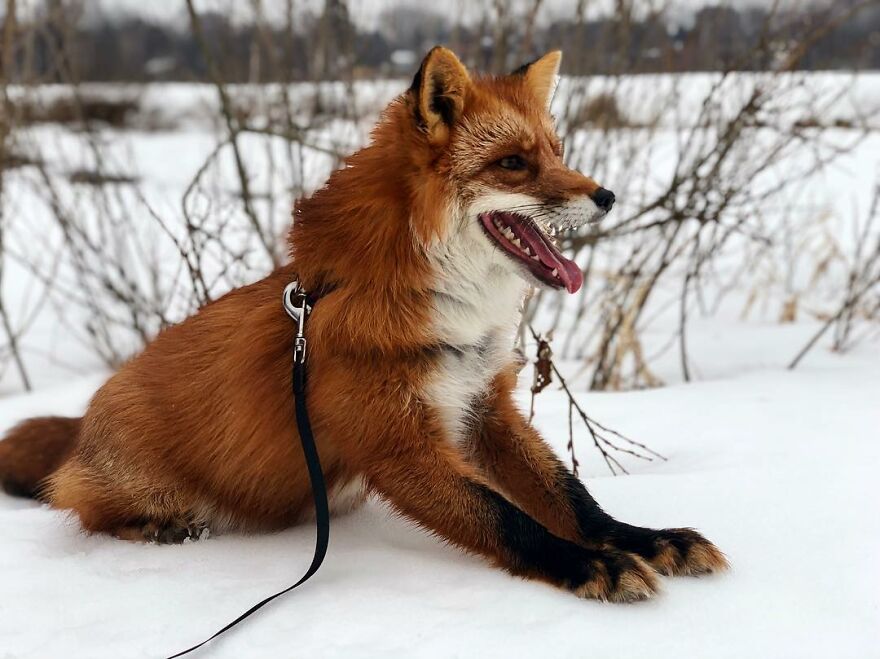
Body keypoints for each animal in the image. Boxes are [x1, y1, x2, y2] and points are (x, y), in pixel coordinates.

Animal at [0, 47, 727, 601]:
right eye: (513, 163)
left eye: (558, 151)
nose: (606, 195)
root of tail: (87, 419)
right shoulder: (398, 444)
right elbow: (506, 519)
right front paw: (590, 566)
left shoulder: (482, 408)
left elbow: (572, 498)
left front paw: (645, 540)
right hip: (136, 484)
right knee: (81, 505)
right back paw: (155, 527)